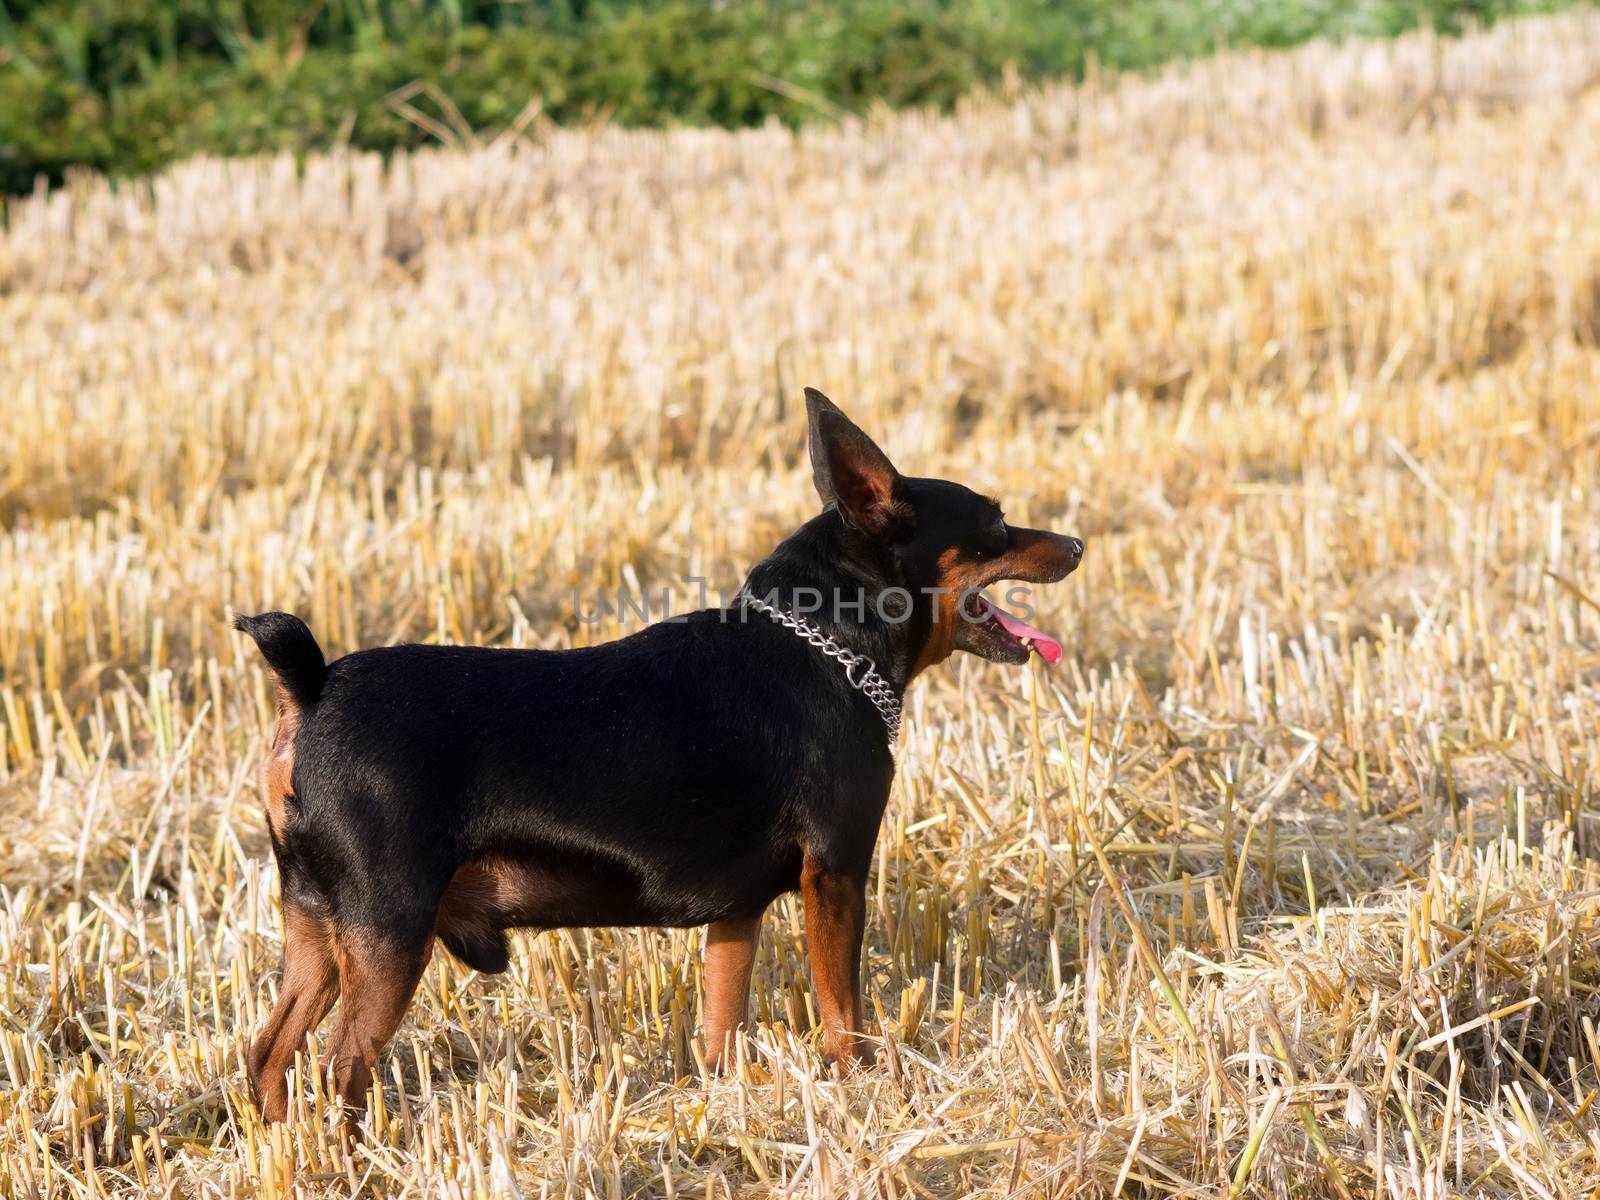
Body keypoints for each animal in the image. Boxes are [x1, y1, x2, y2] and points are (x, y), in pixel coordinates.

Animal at [233, 390, 1088, 1126]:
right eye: (997, 524)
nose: (1078, 543)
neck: (827, 648)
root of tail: (311, 687)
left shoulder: (738, 915)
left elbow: (721, 1023)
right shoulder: (838, 874)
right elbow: (843, 1013)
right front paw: (865, 1093)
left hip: (315, 923)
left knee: (270, 1054)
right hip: (388, 930)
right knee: (339, 1069)